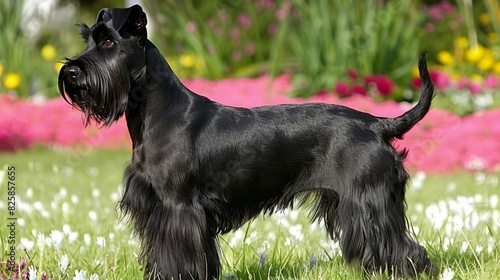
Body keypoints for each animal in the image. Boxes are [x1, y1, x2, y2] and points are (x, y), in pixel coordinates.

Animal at [57, 4, 434, 280]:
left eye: (108, 42)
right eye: (87, 39)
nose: (71, 72)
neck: (157, 111)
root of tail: (378, 124)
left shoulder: (178, 206)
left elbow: (177, 255)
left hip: (369, 202)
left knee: (407, 250)